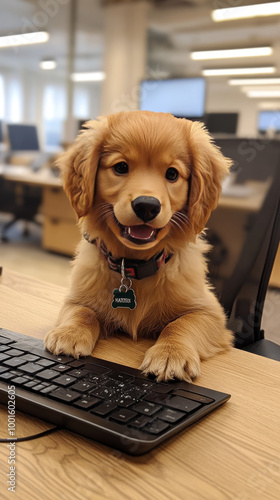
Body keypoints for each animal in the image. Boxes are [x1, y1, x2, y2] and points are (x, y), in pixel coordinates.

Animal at [43, 111, 232, 380]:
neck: (133, 266)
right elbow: (83, 312)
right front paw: (69, 333)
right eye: (121, 167)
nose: (147, 206)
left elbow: (180, 324)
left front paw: (171, 354)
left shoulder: (211, 312)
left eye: (172, 174)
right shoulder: (76, 297)